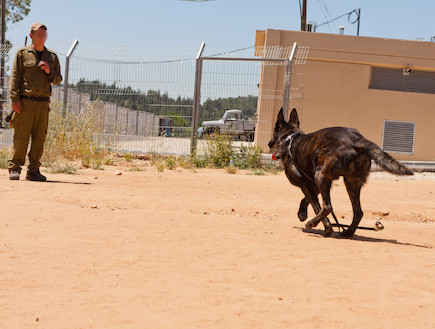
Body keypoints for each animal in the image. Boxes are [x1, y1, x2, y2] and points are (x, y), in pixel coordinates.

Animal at [270, 107, 416, 236]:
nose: (269, 143)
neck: (289, 138)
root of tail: (356, 139)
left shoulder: (309, 183)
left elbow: (316, 206)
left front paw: (327, 228)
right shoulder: (315, 184)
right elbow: (307, 200)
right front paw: (302, 213)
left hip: (321, 176)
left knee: (328, 207)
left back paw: (312, 223)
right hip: (351, 183)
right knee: (358, 211)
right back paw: (348, 232)